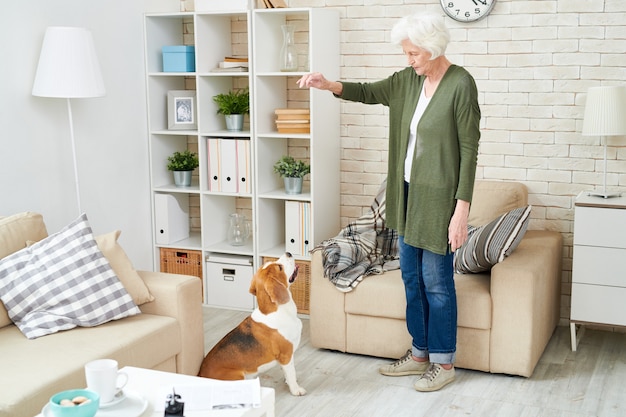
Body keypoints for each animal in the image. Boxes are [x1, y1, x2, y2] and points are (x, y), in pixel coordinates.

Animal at [199, 252, 306, 394]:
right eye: (280, 267)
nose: (288, 253)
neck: (276, 311)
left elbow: (287, 373)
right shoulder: (286, 355)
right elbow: (292, 373)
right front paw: (296, 389)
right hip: (238, 376)